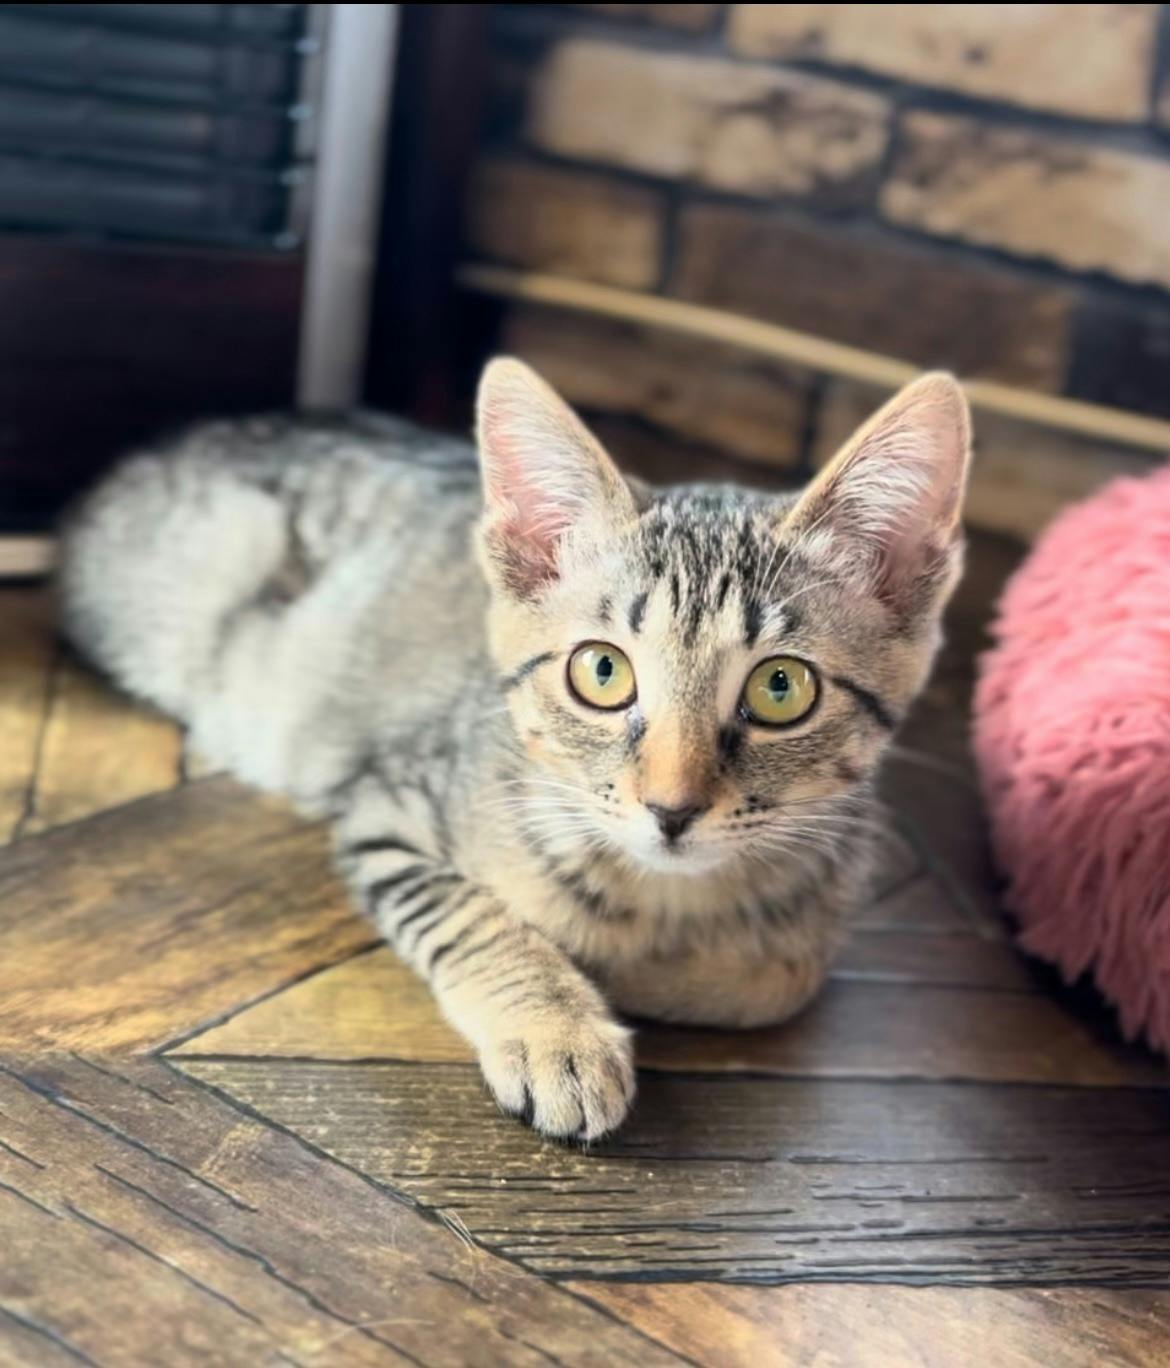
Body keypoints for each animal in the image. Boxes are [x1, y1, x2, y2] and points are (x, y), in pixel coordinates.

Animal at [59, 358, 970, 1140]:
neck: (666, 899)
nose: (671, 810)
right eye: (601, 672)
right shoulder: (388, 807)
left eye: (782, 688)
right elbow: (474, 914)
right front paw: (557, 1026)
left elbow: (775, 979)